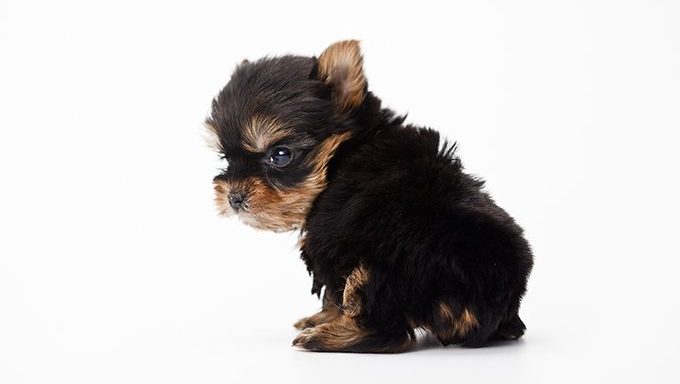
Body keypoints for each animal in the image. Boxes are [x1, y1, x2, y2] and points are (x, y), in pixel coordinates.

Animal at [205, 40, 532, 352]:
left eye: (280, 155)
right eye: (225, 158)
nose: (234, 197)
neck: (344, 151)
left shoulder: (330, 238)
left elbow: (332, 292)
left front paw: (326, 320)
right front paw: (320, 317)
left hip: (385, 263)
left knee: (389, 331)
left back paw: (325, 339)